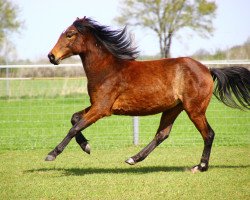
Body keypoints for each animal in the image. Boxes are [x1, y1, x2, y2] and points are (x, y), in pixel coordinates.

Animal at [47, 17, 250, 173]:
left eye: (70, 34)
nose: (51, 56)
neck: (107, 70)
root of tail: (208, 69)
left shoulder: (102, 109)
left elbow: (75, 127)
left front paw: (52, 154)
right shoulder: (97, 105)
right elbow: (75, 119)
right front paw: (86, 146)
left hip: (195, 110)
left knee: (208, 134)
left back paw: (200, 166)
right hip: (173, 109)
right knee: (162, 134)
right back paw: (133, 158)